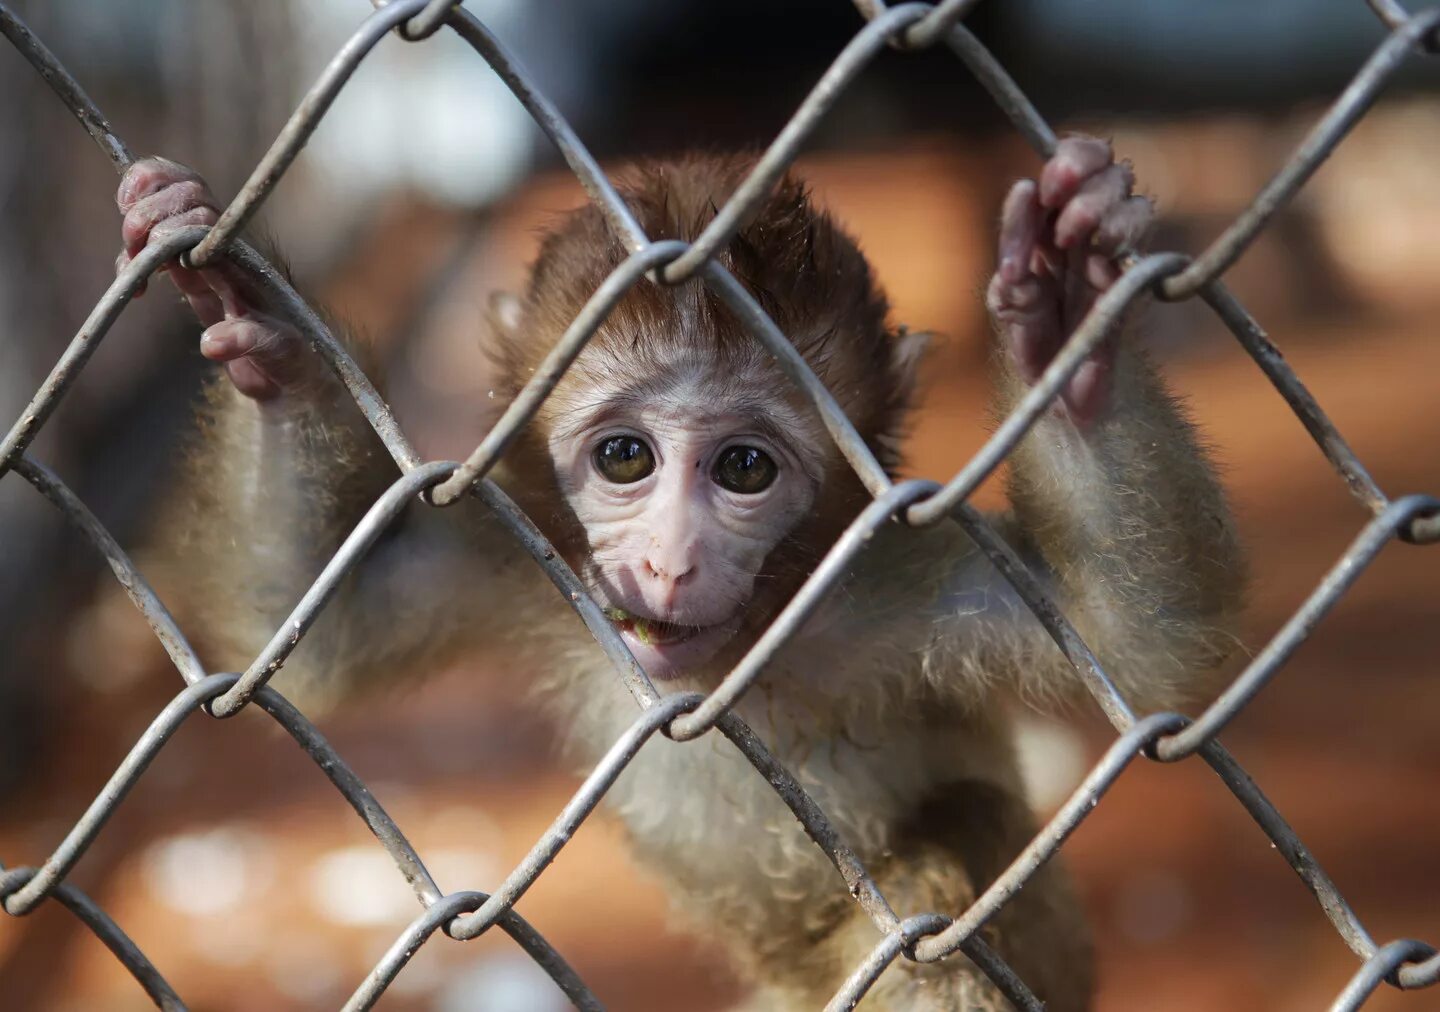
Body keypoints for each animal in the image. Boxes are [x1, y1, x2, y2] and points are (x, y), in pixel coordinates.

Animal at [120, 136, 1249, 1012]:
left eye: (745, 469)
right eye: (626, 457)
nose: (669, 561)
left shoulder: (895, 584)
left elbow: (1138, 642)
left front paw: (1071, 318)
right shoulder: (514, 558)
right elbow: (317, 627)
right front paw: (255, 324)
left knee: (939, 890)